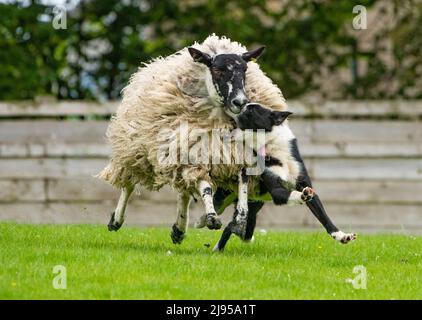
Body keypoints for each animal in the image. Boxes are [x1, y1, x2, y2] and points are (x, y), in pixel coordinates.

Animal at [96, 33, 288, 241]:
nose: (240, 102)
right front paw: (212, 217)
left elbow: (242, 187)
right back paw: (116, 220)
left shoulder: (237, 156)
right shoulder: (196, 153)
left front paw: (240, 217)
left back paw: (179, 229)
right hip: (136, 147)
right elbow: (205, 187)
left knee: (184, 190)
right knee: (129, 183)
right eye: (217, 70)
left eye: (244, 71)